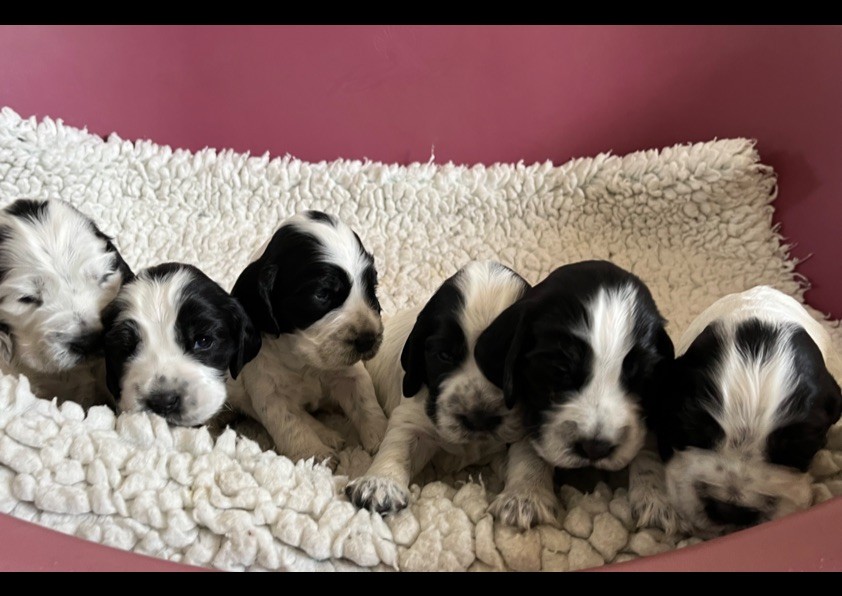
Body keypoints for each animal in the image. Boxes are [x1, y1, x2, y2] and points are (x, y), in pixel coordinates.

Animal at [226, 210, 388, 469]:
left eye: (371, 288)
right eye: (322, 295)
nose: (368, 340)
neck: (304, 361)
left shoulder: (350, 373)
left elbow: (366, 401)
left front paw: (381, 436)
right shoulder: (269, 392)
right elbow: (292, 424)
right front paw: (315, 455)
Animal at [346, 260, 533, 517]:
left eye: (510, 361)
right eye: (444, 355)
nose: (479, 418)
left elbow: (527, 457)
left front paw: (523, 497)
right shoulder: (412, 416)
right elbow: (398, 447)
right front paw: (379, 484)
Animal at [474, 260, 674, 529]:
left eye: (642, 377)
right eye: (560, 371)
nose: (595, 448)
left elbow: (647, 446)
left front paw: (658, 498)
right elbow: (528, 442)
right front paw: (525, 496)